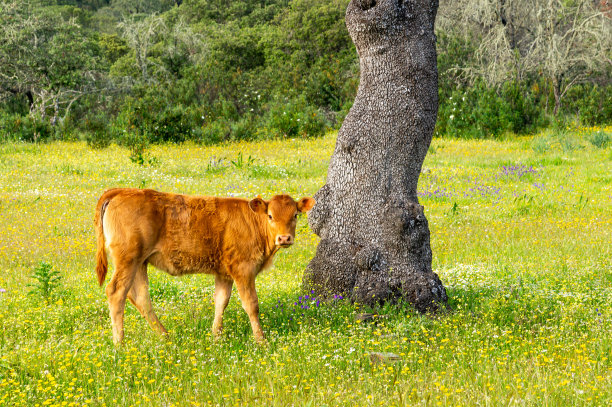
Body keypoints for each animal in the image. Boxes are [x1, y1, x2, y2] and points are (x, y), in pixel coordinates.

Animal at [97, 189, 316, 344]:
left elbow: (221, 301)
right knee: (116, 292)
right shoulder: (243, 270)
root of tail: (122, 191)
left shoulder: (224, 274)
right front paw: (261, 340)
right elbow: (251, 305)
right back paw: (120, 344)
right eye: (270, 215)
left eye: (295, 215)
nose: (284, 238)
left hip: (140, 263)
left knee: (140, 297)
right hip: (128, 259)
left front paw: (216, 336)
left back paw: (165, 337)